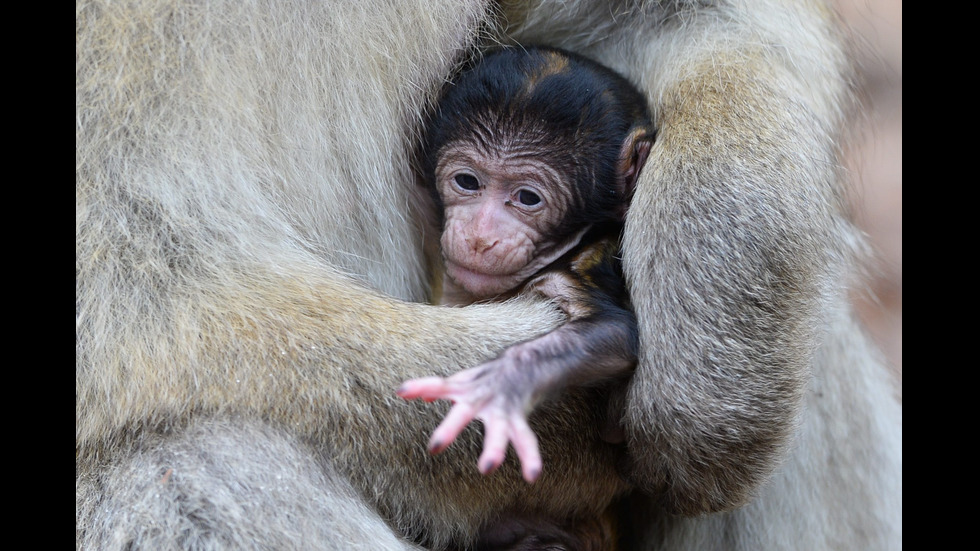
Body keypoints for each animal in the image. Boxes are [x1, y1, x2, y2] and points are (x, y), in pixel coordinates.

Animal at [394, 46, 656, 484]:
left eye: (528, 198)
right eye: (467, 181)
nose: (480, 236)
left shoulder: (578, 267)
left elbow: (615, 333)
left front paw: (501, 385)